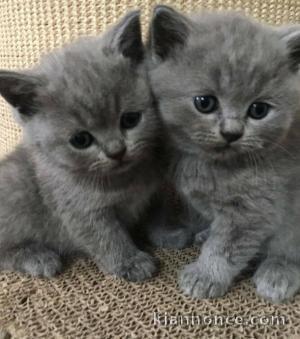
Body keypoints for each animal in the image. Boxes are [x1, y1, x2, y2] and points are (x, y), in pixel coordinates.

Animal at [0, 9, 163, 282]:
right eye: (81, 140)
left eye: (130, 120)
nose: (116, 151)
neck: (122, 182)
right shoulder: (78, 209)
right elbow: (105, 237)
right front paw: (130, 262)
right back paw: (37, 257)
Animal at [149, 5, 300, 302]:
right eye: (204, 103)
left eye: (258, 110)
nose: (232, 132)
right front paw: (205, 233)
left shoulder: (253, 210)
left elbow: (225, 247)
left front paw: (206, 276)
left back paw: (279, 272)